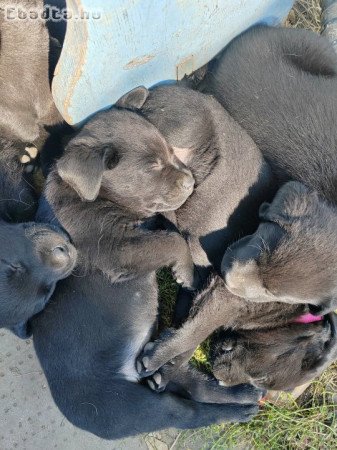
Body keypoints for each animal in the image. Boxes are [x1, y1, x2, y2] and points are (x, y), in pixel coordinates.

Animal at [30, 93, 260, 438]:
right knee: (188, 411)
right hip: (132, 407)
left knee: (192, 383)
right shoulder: (116, 249)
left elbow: (171, 231)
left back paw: (244, 396)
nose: (190, 181)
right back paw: (237, 411)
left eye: (169, 150)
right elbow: (172, 240)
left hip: (151, 366)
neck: (90, 197)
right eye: (152, 167)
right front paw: (186, 273)